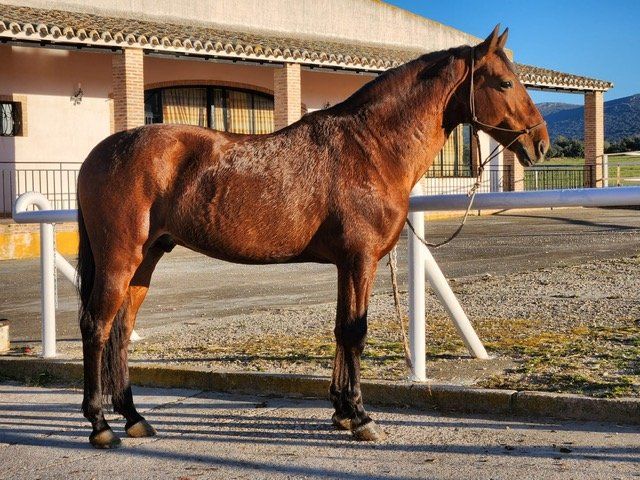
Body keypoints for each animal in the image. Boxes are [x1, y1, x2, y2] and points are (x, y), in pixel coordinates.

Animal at [76, 24, 552, 448]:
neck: (370, 147)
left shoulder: (347, 264)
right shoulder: (361, 260)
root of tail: (100, 153)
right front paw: (361, 417)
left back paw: (135, 418)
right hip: (120, 259)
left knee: (121, 330)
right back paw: (100, 425)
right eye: (506, 82)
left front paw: (342, 411)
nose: (541, 145)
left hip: (147, 259)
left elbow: (342, 329)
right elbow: (356, 331)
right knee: (97, 326)